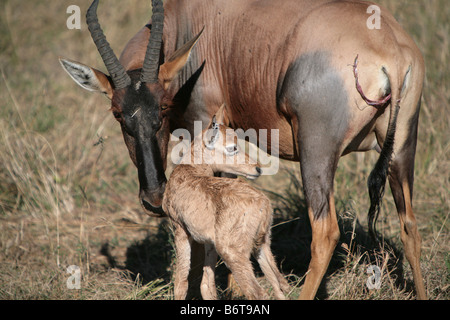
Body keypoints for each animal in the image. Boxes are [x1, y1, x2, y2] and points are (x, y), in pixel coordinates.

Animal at [59, 0, 426, 300]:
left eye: (162, 107)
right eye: (117, 113)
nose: (153, 197)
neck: (193, 20)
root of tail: (391, 53)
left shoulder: (204, 123)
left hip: (316, 152)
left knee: (325, 232)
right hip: (402, 149)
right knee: (409, 225)